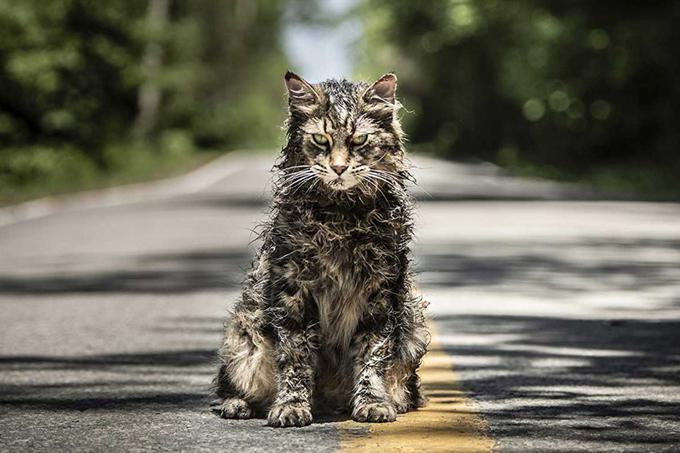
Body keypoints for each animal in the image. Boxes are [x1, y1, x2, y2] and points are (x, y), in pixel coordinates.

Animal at [210, 71, 428, 428]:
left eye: (358, 141)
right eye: (321, 140)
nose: (338, 168)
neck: (340, 216)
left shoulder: (381, 293)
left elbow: (372, 355)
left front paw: (372, 402)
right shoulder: (293, 291)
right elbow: (296, 358)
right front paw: (291, 406)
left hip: (414, 330)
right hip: (243, 338)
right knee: (229, 384)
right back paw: (237, 405)